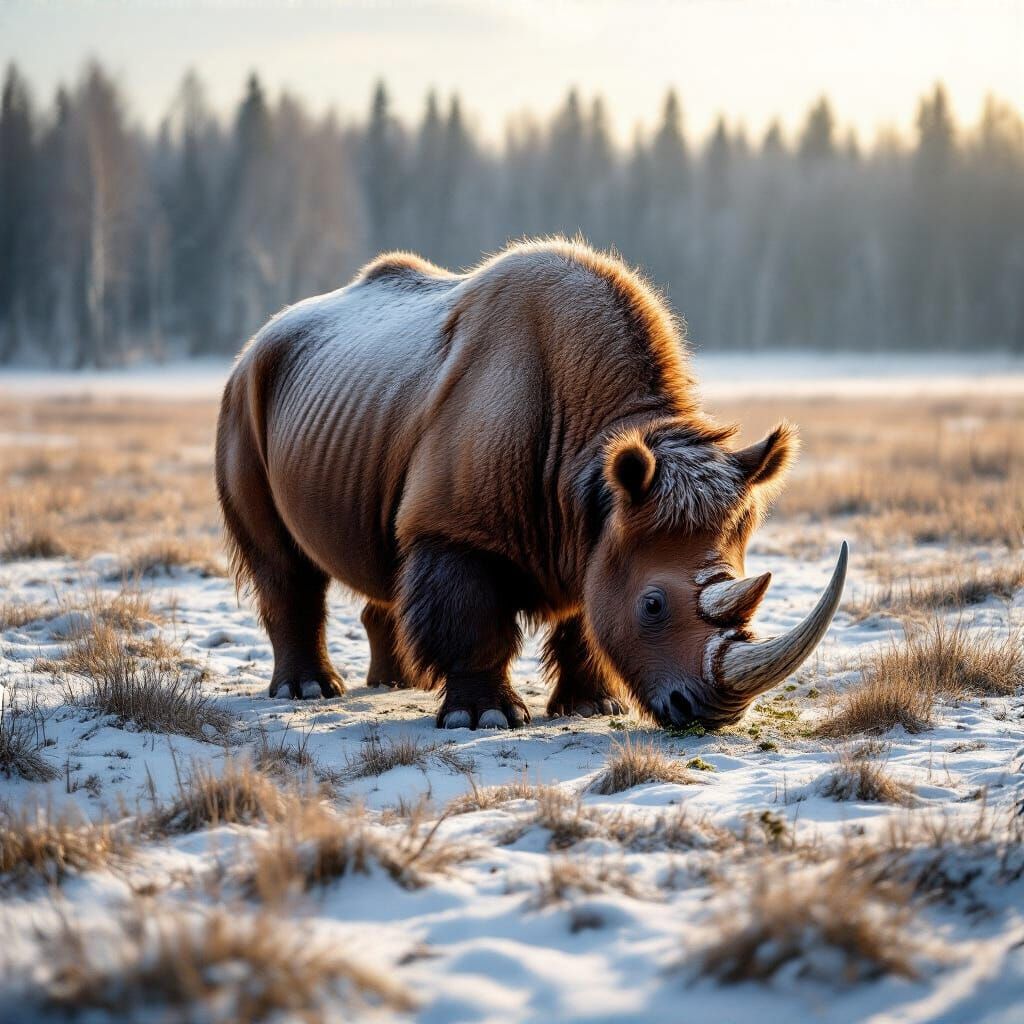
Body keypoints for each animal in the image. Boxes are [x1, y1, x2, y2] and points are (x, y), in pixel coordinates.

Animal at [215, 239, 846, 730]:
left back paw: (396, 684)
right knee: (285, 566)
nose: (712, 714)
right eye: (652, 605)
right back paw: (310, 692)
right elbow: (472, 618)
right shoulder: (457, 527)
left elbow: (586, 617)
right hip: (243, 393)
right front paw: (484, 718)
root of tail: (258, 337)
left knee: (387, 556)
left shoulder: (595, 526)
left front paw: (593, 708)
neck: (600, 454)